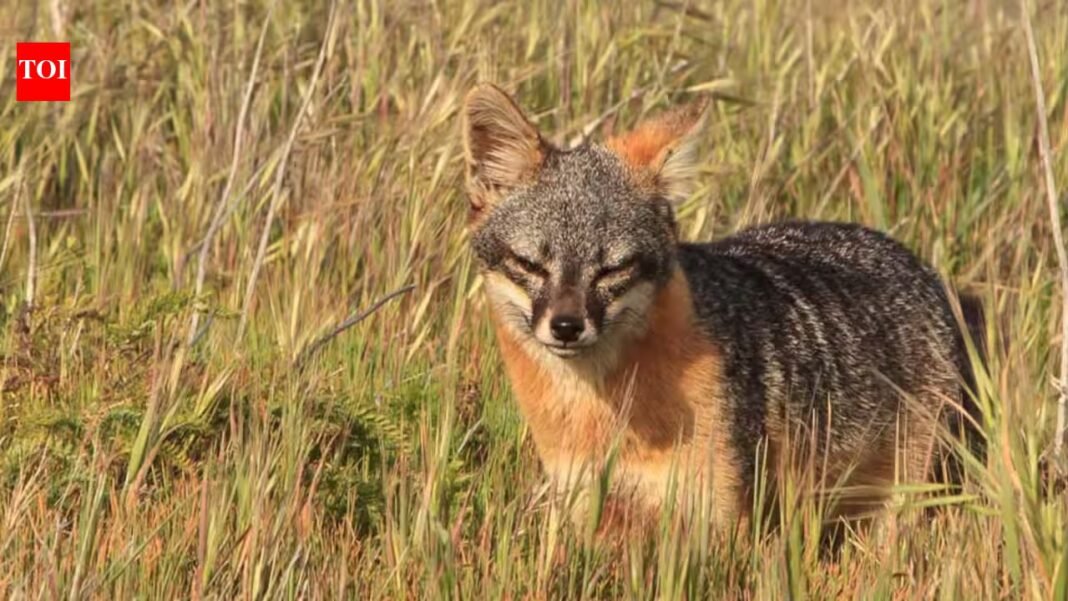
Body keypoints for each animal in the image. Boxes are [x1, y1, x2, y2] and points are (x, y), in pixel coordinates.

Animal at [461, 83, 984, 533]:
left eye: (613, 269)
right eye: (529, 263)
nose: (567, 326)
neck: (601, 413)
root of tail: (918, 264)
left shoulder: (719, 514)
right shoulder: (587, 504)